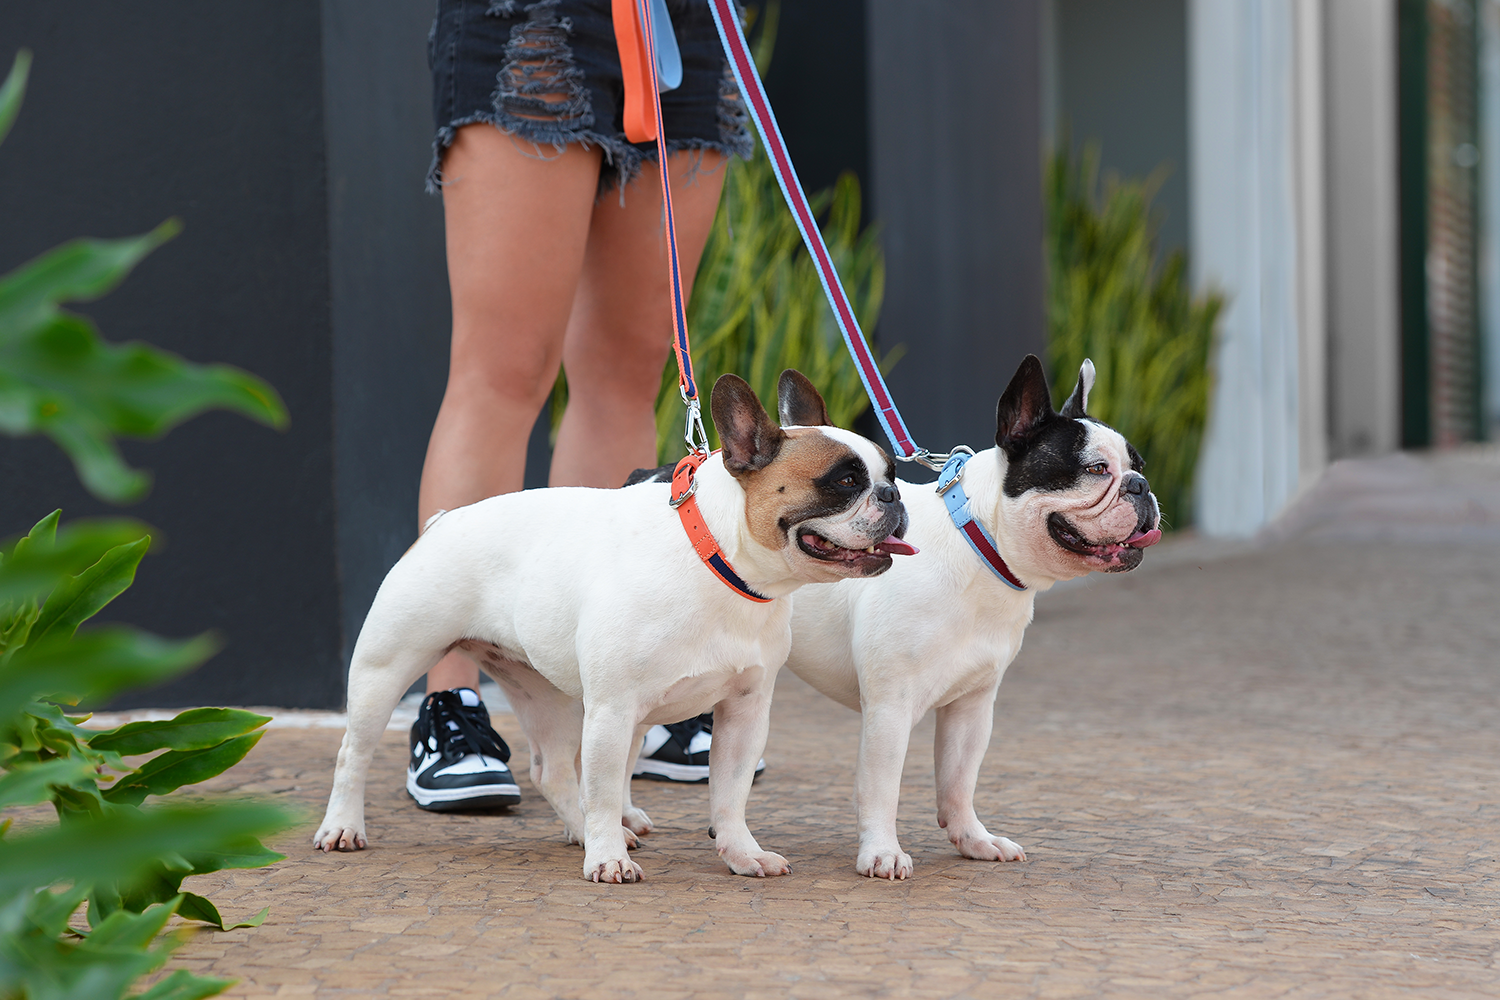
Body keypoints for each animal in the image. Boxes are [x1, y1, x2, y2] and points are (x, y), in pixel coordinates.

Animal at [780, 355, 1164, 881]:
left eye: (1139, 467)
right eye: (1095, 469)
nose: (1141, 487)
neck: (979, 547)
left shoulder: (973, 705)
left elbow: (960, 780)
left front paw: (974, 839)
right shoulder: (889, 709)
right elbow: (882, 787)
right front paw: (882, 851)